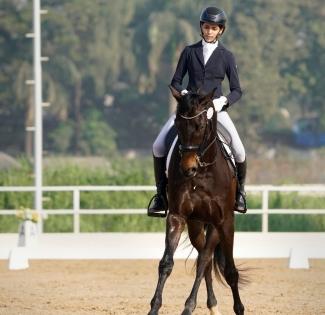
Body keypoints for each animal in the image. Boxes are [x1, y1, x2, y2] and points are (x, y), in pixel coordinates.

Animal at [147, 86, 243, 315]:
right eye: (177, 125)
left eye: (200, 126)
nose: (187, 168)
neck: (202, 173)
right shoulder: (177, 216)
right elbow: (166, 263)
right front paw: (154, 307)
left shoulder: (222, 221)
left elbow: (218, 266)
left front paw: (189, 306)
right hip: (195, 225)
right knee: (205, 259)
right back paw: (213, 305)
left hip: (218, 225)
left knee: (215, 263)